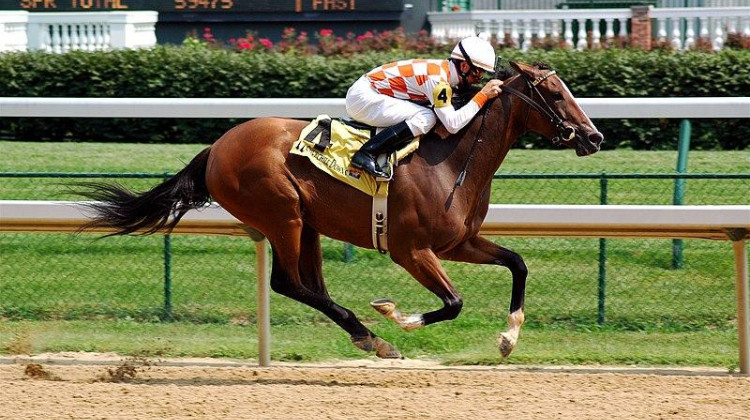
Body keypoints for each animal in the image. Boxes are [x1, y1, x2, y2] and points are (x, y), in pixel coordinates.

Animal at [79, 60, 604, 360]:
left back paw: (366, 336)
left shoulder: (458, 242)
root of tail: (217, 147)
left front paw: (508, 338)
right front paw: (395, 315)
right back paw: (374, 336)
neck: (453, 159)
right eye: (555, 93)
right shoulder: (412, 250)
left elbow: (518, 263)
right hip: (282, 215)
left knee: (310, 285)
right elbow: (454, 303)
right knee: (288, 283)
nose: (594, 136)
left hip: (307, 224)